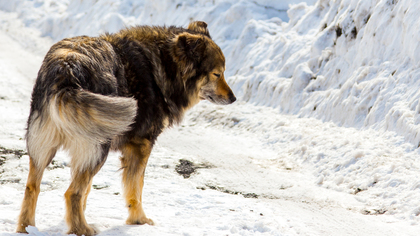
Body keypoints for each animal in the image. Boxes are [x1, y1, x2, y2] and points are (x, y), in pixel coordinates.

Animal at [17, 21, 236, 235]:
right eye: (217, 74)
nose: (234, 98)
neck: (164, 65)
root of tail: (66, 70)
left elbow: (89, 190)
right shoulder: (141, 146)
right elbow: (136, 188)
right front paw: (139, 220)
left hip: (43, 148)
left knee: (32, 187)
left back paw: (26, 228)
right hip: (98, 149)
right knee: (72, 192)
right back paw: (82, 230)